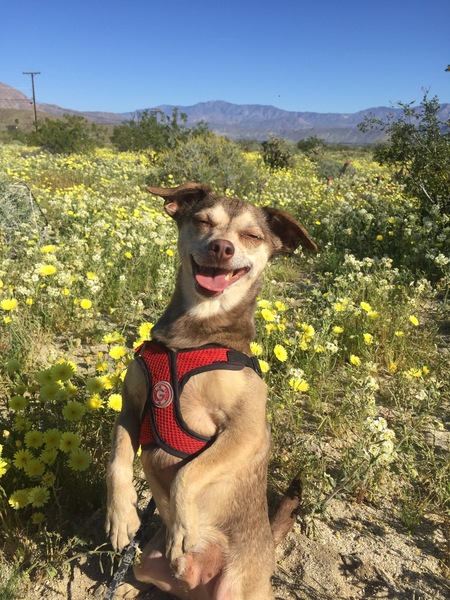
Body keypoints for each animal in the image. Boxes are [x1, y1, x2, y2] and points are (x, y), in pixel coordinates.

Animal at [105, 183, 316, 600]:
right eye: (202, 221)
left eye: (251, 236)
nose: (222, 247)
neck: (193, 337)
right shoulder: (132, 407)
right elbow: (116, 461)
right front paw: (121, 517)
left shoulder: (245, 431)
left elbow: (189, 472)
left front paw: (183, 528)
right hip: (146, 563)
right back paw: (126, 589)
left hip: (238, 587)